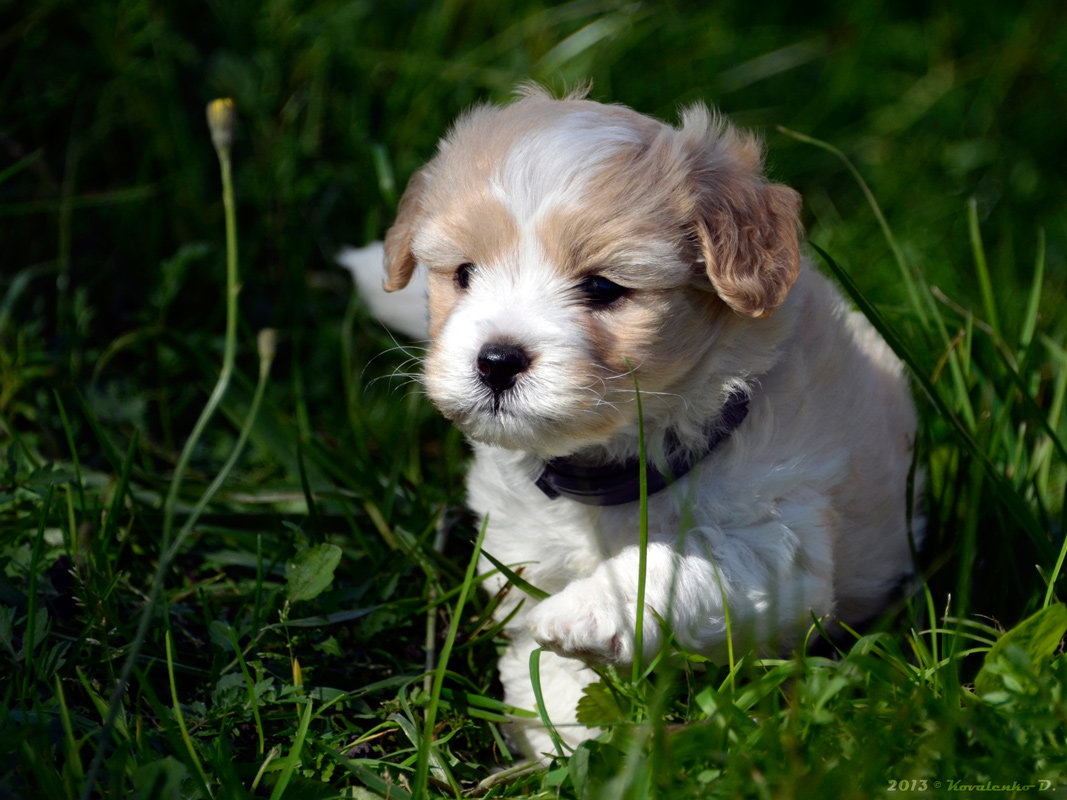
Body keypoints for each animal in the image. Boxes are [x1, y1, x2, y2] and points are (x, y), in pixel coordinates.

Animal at [339, 84, 917, 759]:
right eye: (463, 274)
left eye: (602, 288)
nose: (497, 360)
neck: (612, 469)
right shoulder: (521, 558)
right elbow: (540, 660)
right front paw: (563, 741)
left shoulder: (781, 537)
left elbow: (683, 560)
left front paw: (590, 609)